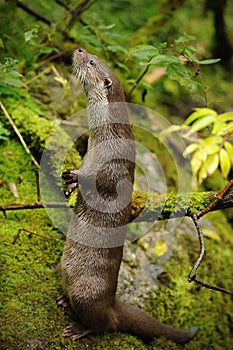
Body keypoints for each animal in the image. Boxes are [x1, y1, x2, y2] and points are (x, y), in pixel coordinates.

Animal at [59, 47, 198, 344]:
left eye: (92, 62)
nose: (79, 49)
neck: (104, 137)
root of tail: (112, 303)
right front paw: (70, 185)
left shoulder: (113, 163)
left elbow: (102, 182)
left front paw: (76, 177)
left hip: (86, 293)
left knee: (105, 324)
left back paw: (79, 328)